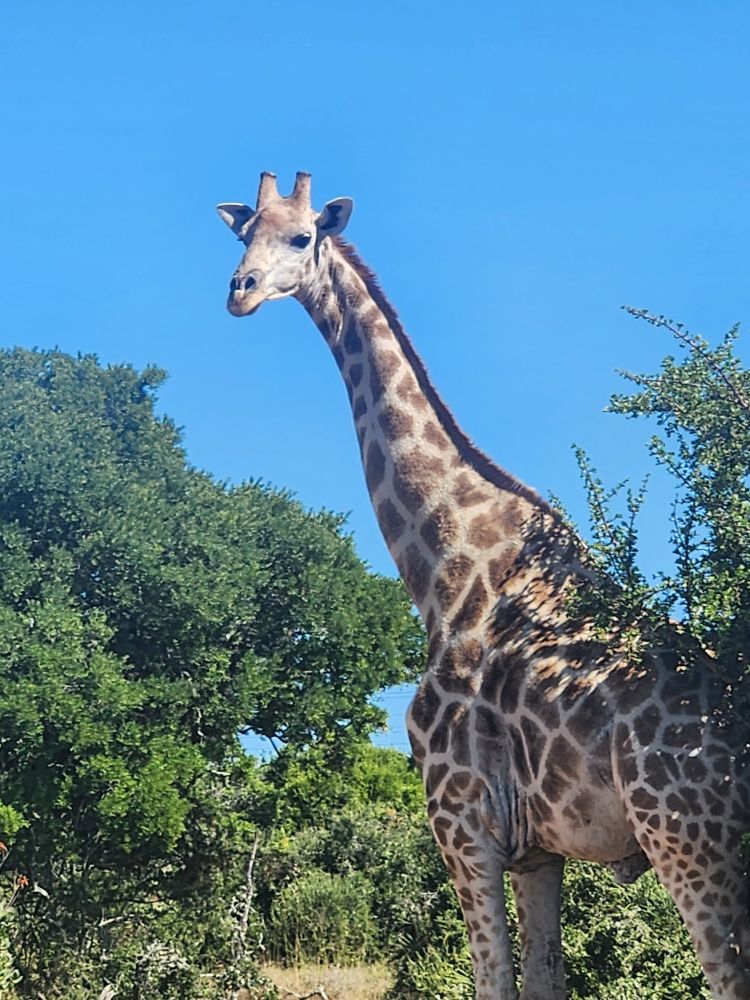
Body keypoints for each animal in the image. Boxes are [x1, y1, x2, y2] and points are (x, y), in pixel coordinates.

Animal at [216, 171, 750, 999]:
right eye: (243, 236)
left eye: (301, 236)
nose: (238, 292)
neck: (440, 571)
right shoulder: (536, 849)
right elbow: (544, 979)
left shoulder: (462, 823)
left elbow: (492, 980)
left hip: (688, 837)